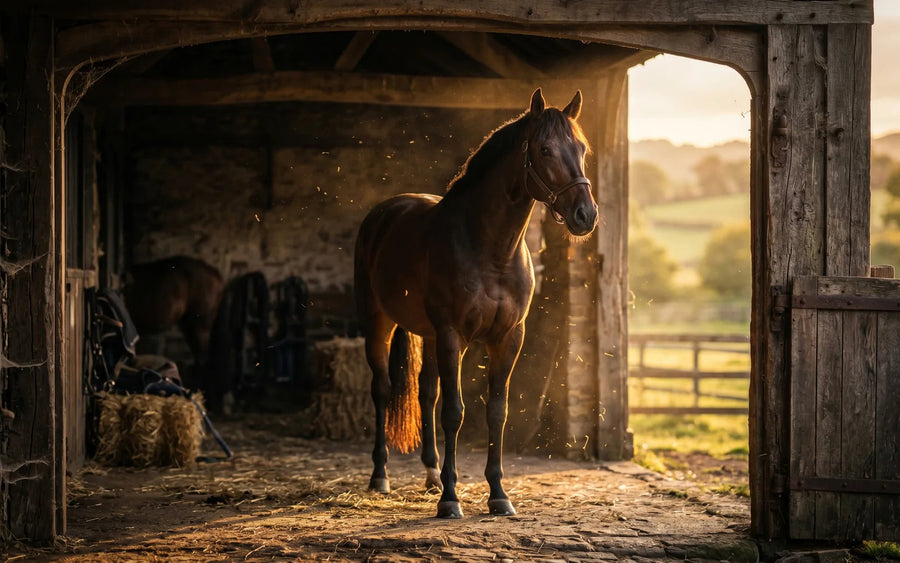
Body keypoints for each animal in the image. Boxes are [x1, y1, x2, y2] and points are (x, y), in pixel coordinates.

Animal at [354, 88, 599, 518]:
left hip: (429, 336)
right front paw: (451, 499)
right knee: (382, 390)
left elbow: (496, 411)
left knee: (426, 393)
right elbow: (455, 411)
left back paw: (432, 475)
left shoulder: (507, 338)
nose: (586, 215)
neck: (491, 249)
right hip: (379, 323)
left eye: (581, 148)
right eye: (545, 149)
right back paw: (380, 477)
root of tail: (385, 212)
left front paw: (498, 494)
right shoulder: (454, 335)